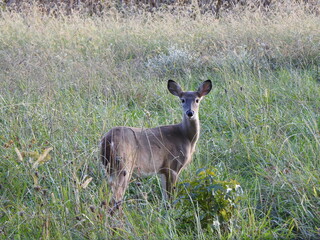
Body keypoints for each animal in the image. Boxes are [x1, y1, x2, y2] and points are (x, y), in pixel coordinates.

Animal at [100, 79, 210, 214]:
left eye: (197, 100)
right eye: (182, 100)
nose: (190, 113)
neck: (185, 137)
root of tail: (107, 140)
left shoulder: (163, 170)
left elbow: (165, 195)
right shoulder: (173, 165)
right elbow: (171, 194)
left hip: (109, 168)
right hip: (123, 165)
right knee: (116, 197)